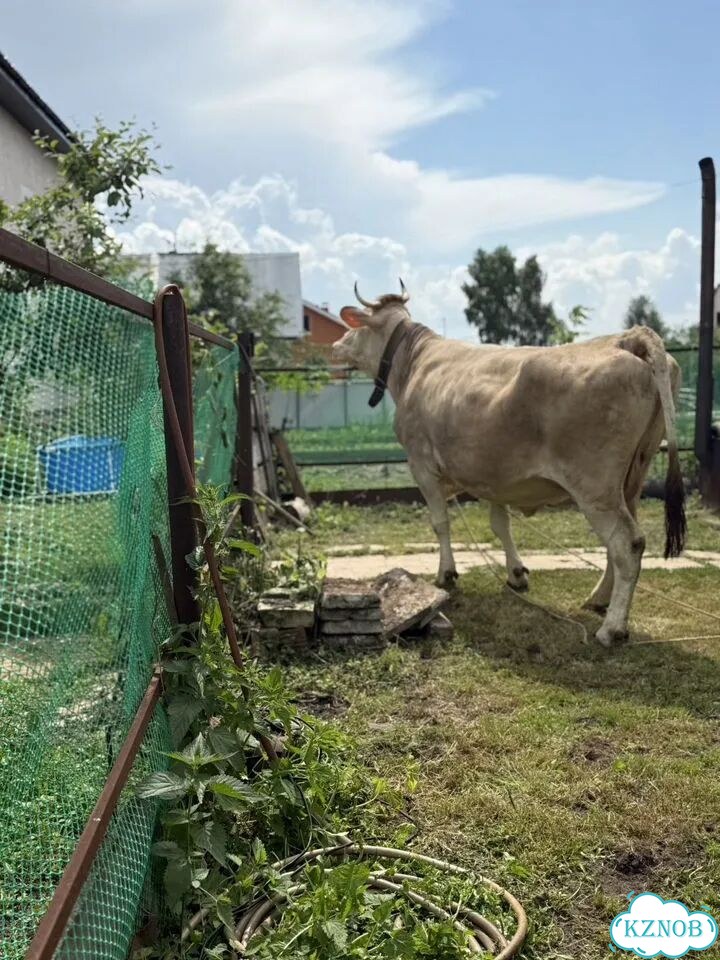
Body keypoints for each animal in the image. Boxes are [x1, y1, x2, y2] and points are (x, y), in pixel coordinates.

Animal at [332, 281, 686, 648]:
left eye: (356, 324)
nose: (335, 344)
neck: (414, 362)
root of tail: (627, 338)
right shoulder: (494, 474)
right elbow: (501, 525)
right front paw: (516, 574)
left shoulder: (421, 463)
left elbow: (441, 522)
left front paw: (446, 574)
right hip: (631, 477)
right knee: (621, 542)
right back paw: (598, 600)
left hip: (594, 486)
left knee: (626, 543)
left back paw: (612, 628)